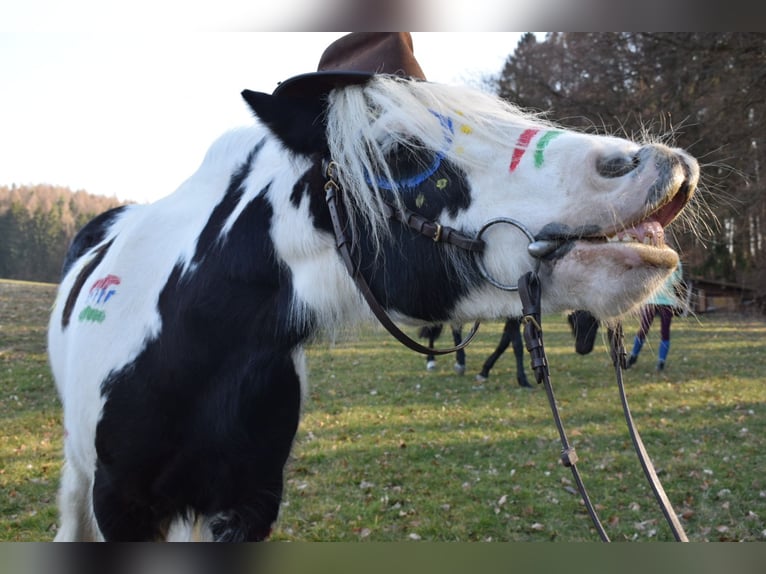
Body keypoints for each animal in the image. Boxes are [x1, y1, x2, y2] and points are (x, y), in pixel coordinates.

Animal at [420, 312, 600, 390]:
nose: (583, 349)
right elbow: (517, 345)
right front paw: (523, 380)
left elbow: (504, 342)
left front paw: (484, 371)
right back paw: (435, 361)